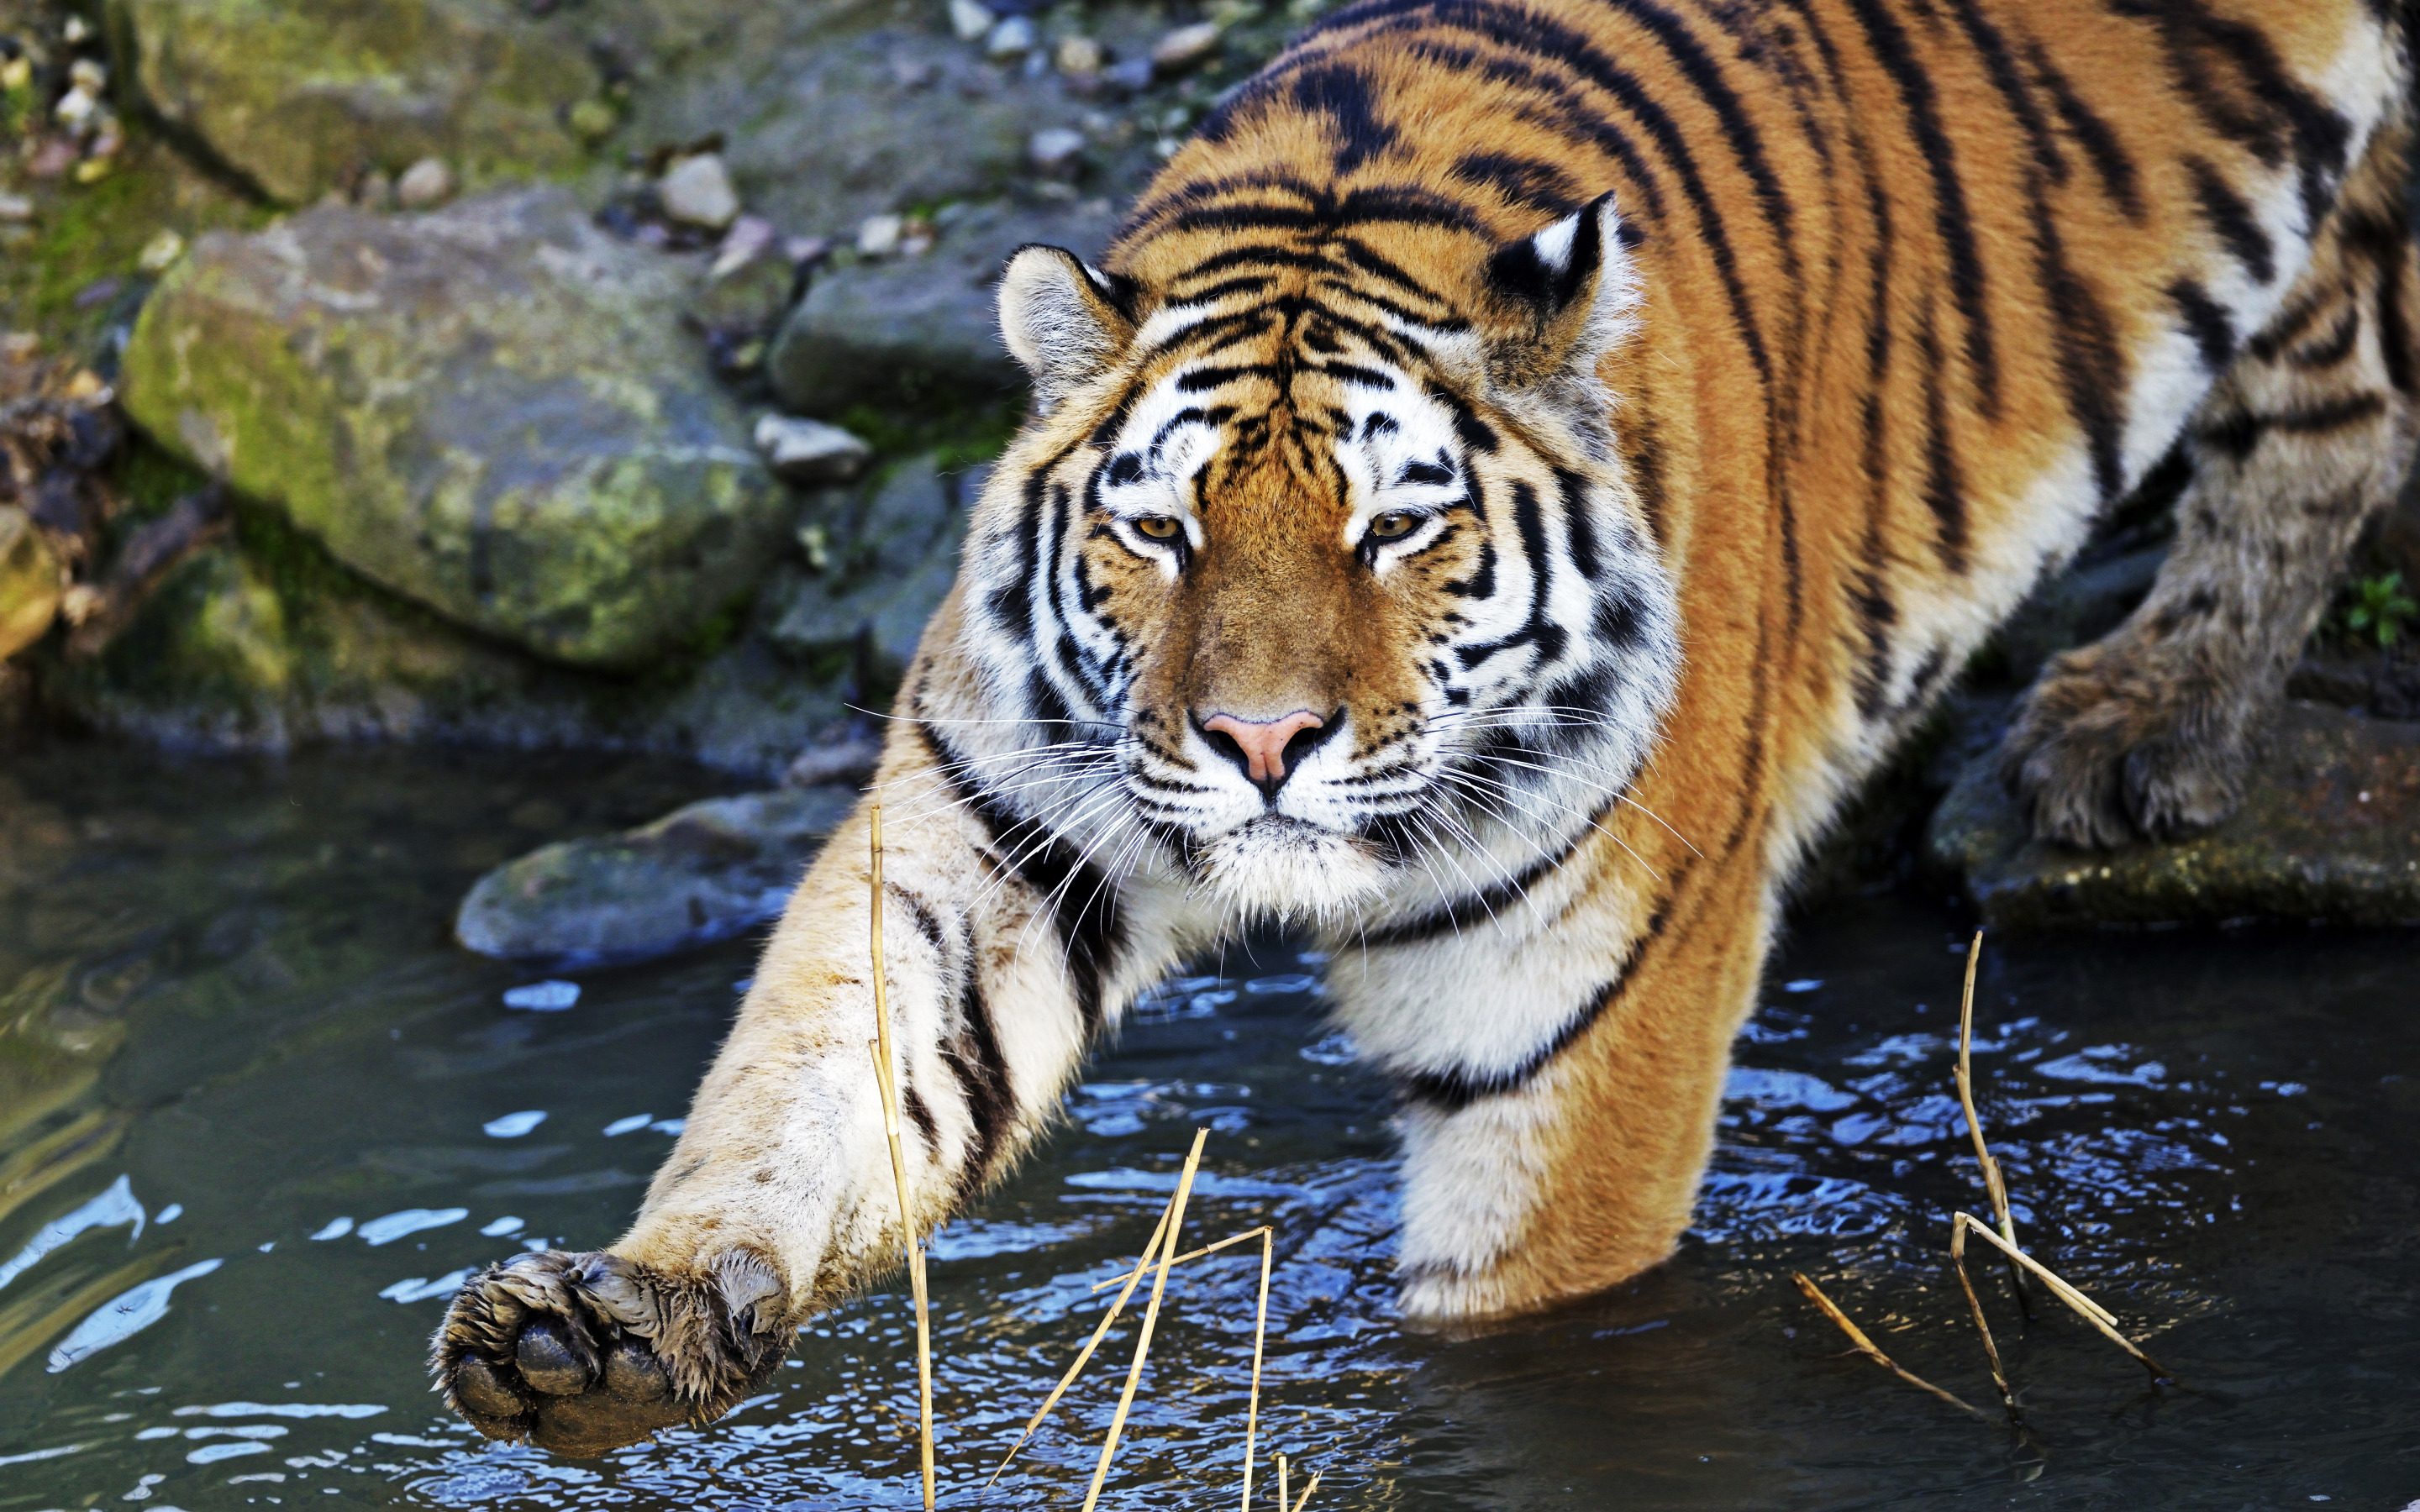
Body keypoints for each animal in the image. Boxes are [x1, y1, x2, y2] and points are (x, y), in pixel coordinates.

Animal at [430, 0, 2420, 1452]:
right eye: (1162, 532)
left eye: (1398, 527)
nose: (1260, 744)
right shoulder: (992, 839)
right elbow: (823, 1086)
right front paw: (611, 1329)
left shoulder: (1578, 1018)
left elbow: (1521, 1317)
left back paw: (2137, 730)